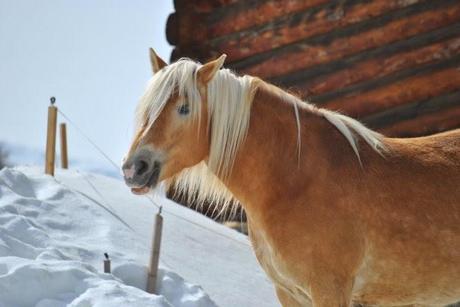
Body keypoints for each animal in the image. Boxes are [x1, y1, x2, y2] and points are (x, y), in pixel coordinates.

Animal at [122, 49, 460, 306]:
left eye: (184, 108)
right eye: (147, 108)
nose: (134, 168)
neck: (296, 180)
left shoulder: (329, 289)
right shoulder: (290, 293)